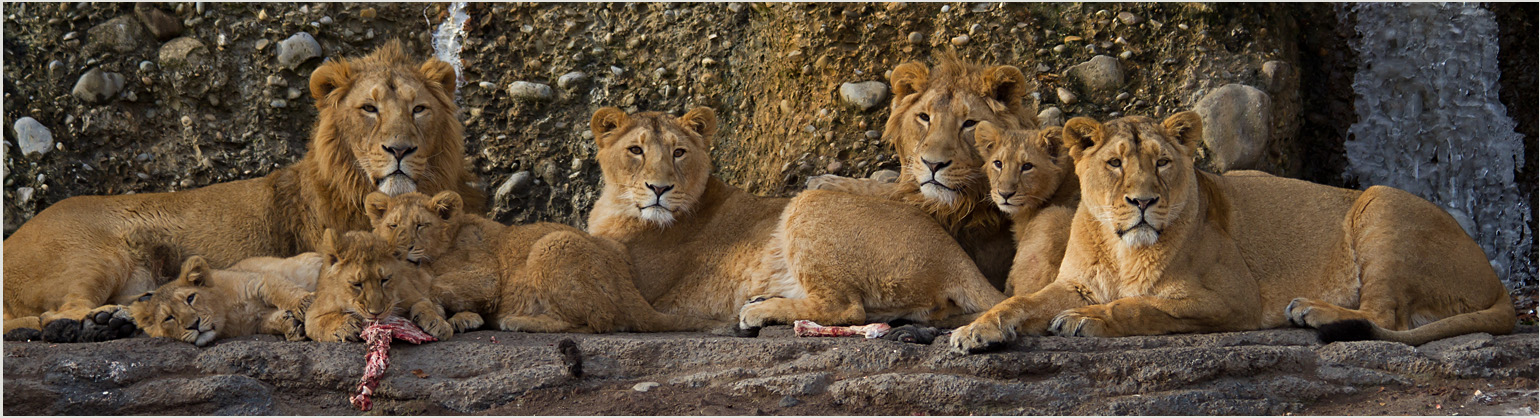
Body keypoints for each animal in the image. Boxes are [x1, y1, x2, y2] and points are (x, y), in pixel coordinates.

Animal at [3, 39, 483, 342]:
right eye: (369, 108)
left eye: (419, 109)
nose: (400, 149)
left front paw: (458, 316)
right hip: (99, 255)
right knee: (54, 312)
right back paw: (104, 321)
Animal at [948, 113, 1515, 351]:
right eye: (1115, 163)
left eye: (1162, 163)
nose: (1143, 202)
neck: (1121, 248)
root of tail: (1497, 279)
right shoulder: (1076, 283)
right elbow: (1020, 302)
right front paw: (977, 330)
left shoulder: (1233, 298)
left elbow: (1141, 306)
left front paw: (1087, 321)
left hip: (1381, 206)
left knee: (1383, 317)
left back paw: (1311, 311)